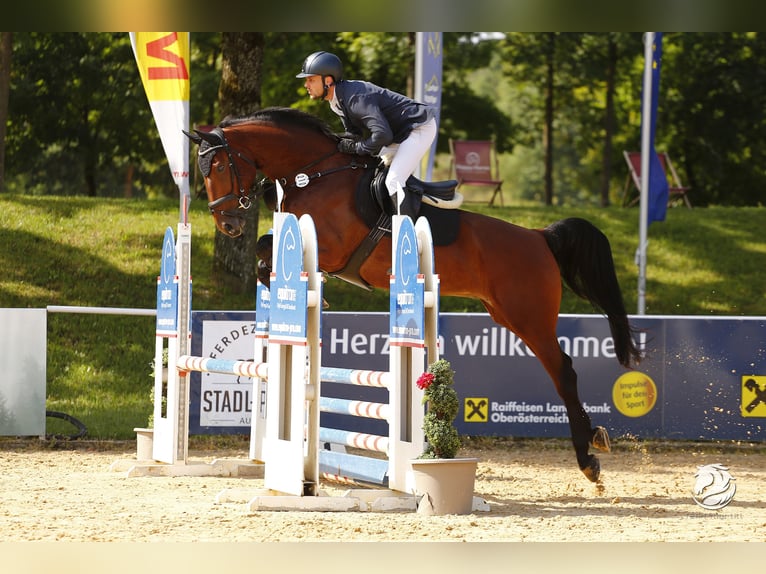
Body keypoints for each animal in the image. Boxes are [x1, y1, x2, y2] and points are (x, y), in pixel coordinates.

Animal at [189, 106, 644, 484]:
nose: (227, 224)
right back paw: (594, 443)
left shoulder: (332, 249)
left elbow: (270, 250)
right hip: (505, 313)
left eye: (220, 166)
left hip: (529, 317)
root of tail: (539, 236)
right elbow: (265, 250)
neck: (314, 173)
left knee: (564, 371)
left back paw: (589, 458)